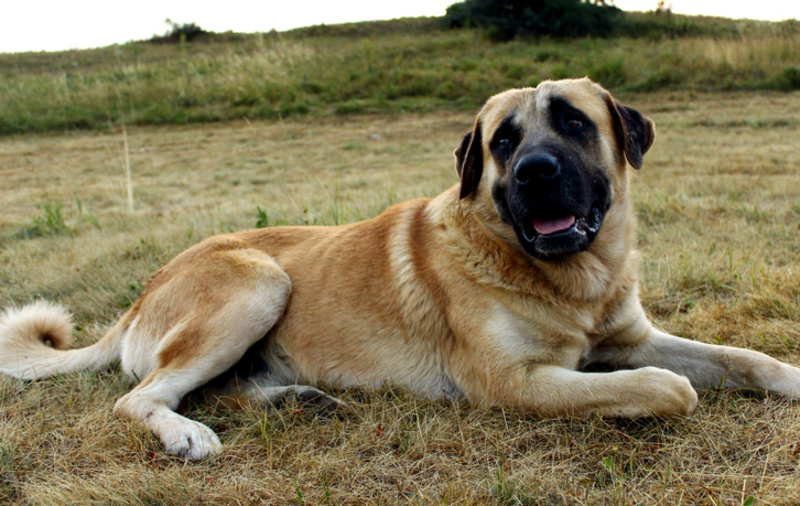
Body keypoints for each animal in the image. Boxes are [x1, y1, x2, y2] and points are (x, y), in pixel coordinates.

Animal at [1, 78, 800, 458]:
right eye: (503, 141)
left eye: (573, 123)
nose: (535, 172)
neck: (571, 283)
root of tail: (140, 297)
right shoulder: (512, 382)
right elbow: (669, 388)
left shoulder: (632, 338)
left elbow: (745, 358)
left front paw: (790, 377)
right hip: (260, 281)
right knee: (139, 399)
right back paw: (187, 435)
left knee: (213, 387)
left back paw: (294, 400)